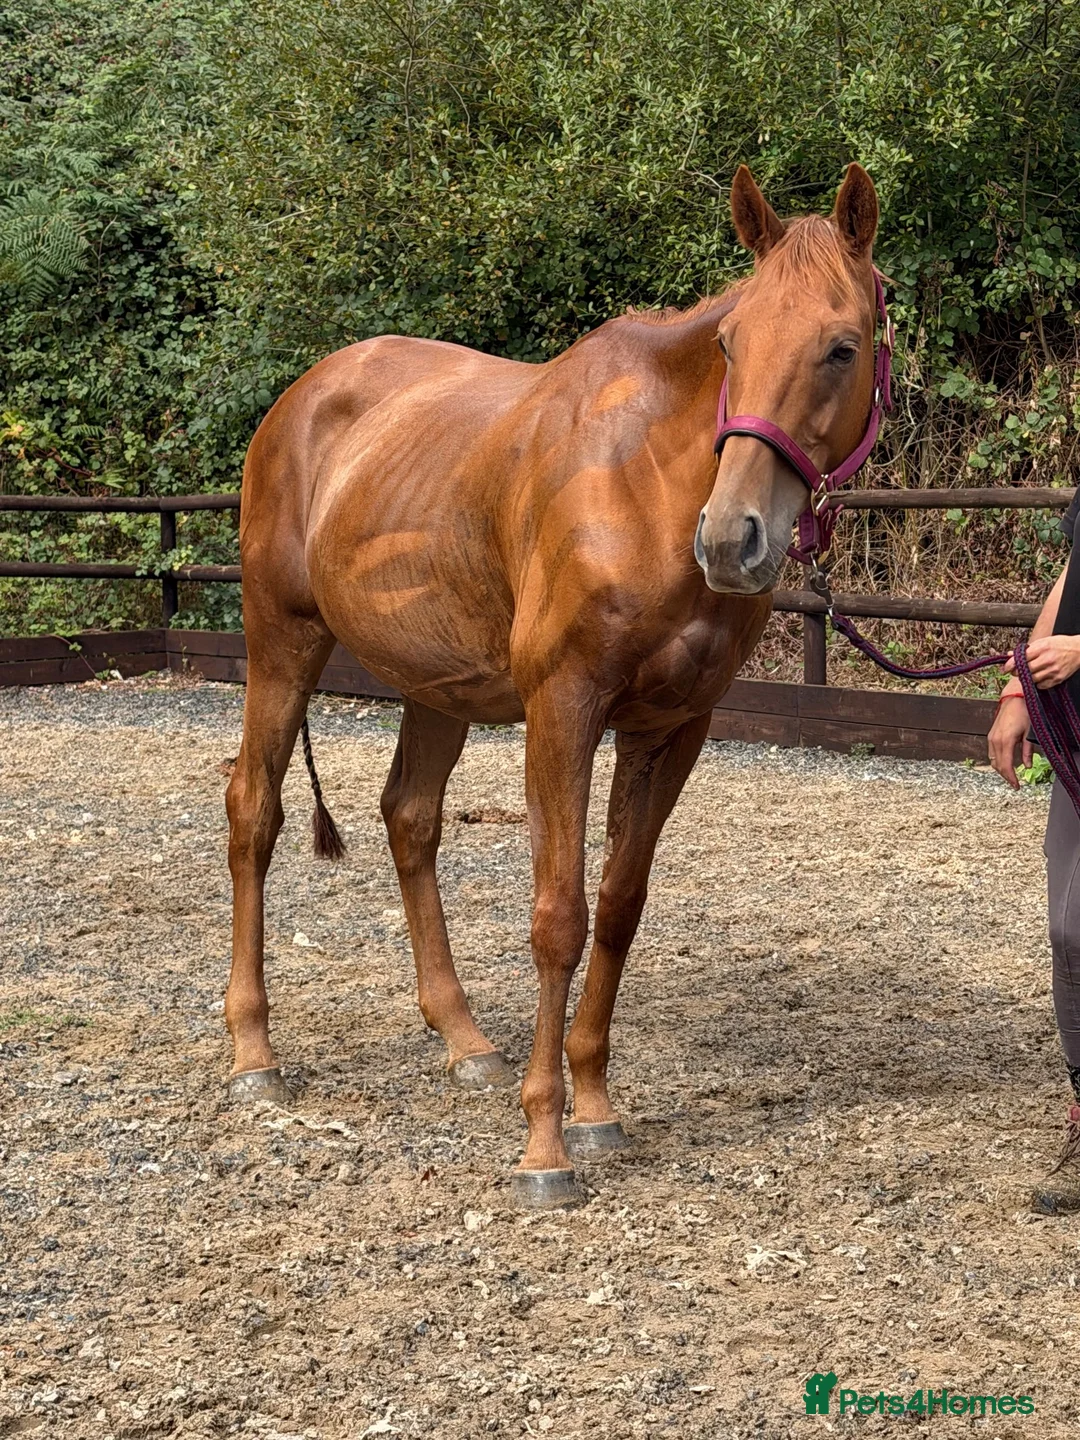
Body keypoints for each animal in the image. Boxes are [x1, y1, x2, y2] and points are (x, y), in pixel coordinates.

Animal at [224, 163, 883, 1207]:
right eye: (730, 344)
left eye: (841, 346)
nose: (731, 537)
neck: (642, 483)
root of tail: (303, 396)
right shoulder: (563, 710)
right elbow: (558, 918)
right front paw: (545, 1143)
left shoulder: (672, 727)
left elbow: (616, 908)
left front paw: (596, 1106)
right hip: (281, 643)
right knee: (255, 810)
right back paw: (254, 1053)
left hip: (437, 684)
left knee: (411, 819)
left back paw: (464, 1041)